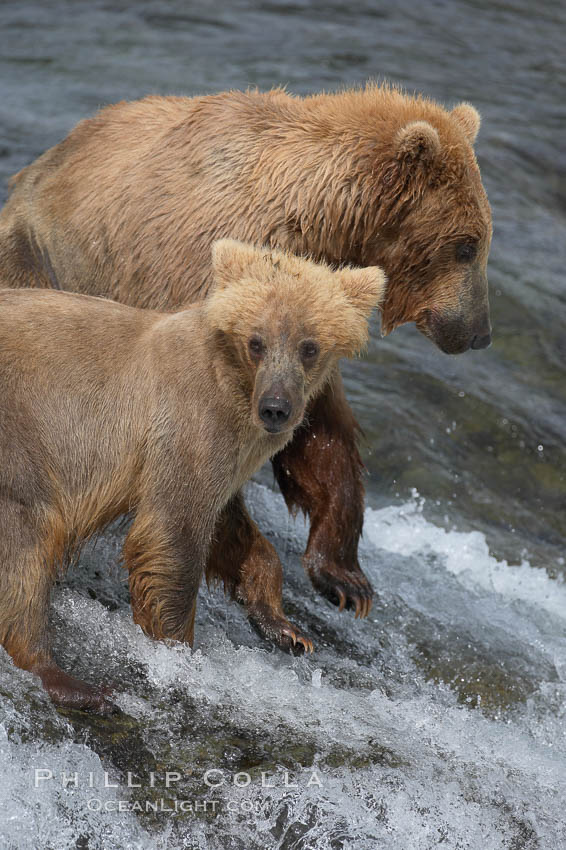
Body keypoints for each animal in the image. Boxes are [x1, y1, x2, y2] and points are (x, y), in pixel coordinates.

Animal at [0, 84, 492, 644]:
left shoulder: (309, 318)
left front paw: (345, 580)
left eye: (483, 238)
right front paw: (276, 607)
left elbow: (321, 433)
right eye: (466, 246)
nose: (479, 332)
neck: (319, 221)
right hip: (38, 259)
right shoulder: (202, 283)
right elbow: (206, 477)